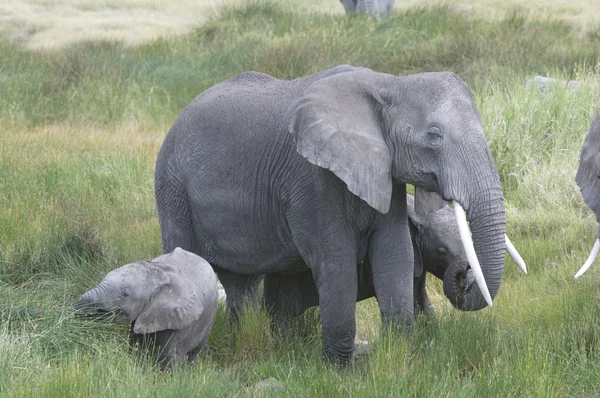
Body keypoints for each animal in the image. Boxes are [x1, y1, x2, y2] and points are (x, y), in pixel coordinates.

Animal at [75, 249, 219, 370]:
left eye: (125, 294)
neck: (160, 273)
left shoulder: (181, 321)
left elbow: (171, 356)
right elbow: (137, 345)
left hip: (209, 318)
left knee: (194, 352)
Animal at [155, 65, 506, 364]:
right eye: (434, 136)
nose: (464, 271)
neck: (388, 84)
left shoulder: (386, 176)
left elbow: (396, 254)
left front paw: (396, 356)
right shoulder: (310, 177)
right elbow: (336, 259)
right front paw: (342, 369)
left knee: (243, 283)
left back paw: (254, 346)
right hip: (173, 189)